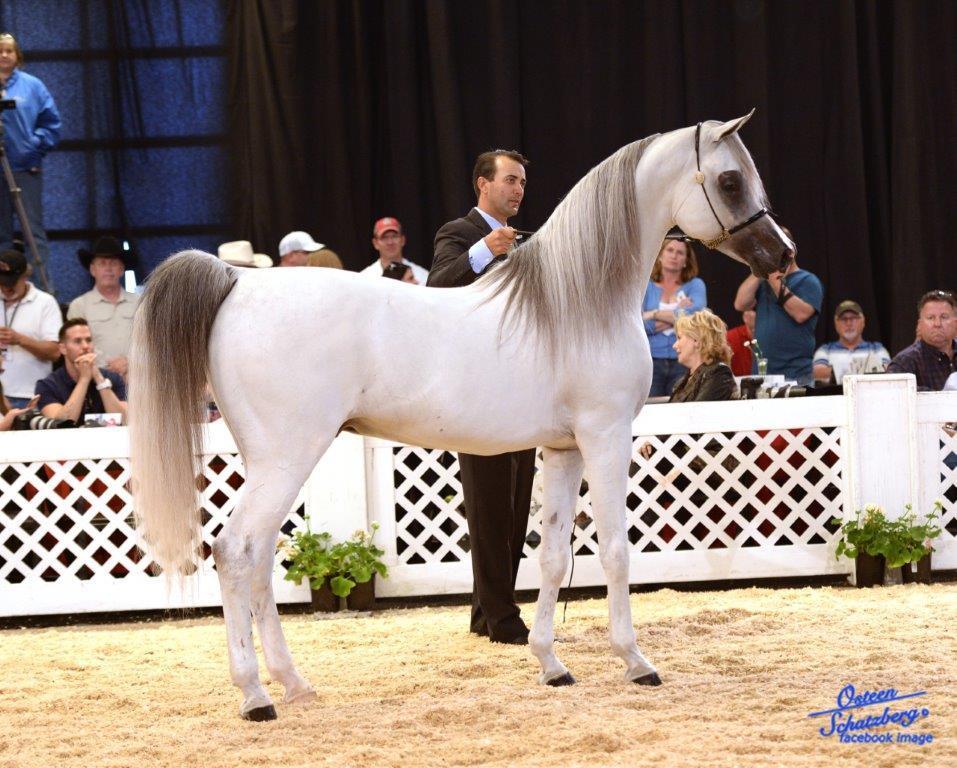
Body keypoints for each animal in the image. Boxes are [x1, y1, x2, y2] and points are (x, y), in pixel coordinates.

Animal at [129, 111, 793, 721]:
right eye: (730, 180)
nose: (782, 254)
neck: (578, 303)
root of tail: (238, 284)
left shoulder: (564, 449)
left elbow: (553, 557)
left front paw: (552, 664)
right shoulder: (605, 439)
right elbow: (615, 551)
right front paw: (635, 661)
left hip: (270, 461)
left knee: (260, 556)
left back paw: (293, 683)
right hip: (287, 456)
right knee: (235, 550)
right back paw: (255, 696)